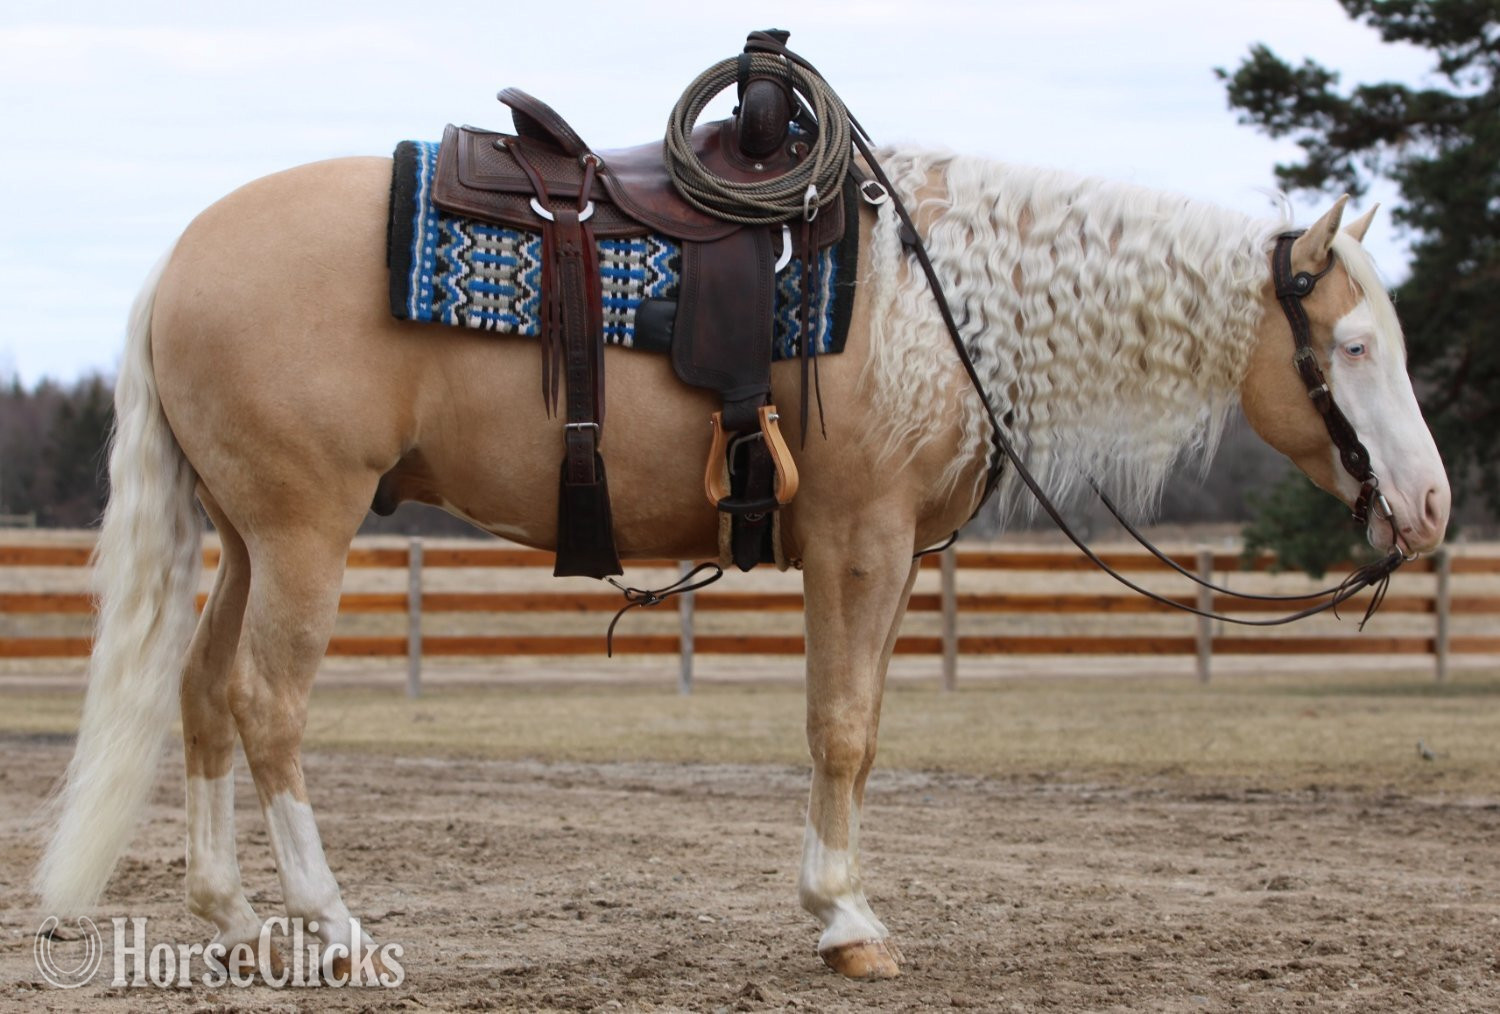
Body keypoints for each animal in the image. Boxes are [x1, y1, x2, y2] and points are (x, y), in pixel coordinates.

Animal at [36, 142, 1450, 982]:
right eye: (1355, 346)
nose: (1431, 505)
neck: (933, 303)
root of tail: (177, 259)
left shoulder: (891, 557)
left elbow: (859, 726)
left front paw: (841, 906)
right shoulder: (856, 541)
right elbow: (841, 731)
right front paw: (845, 920)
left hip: (245, 539)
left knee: (202, 698)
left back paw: (232, 921)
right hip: (306, 532)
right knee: (267, 706)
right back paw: (330, 928)